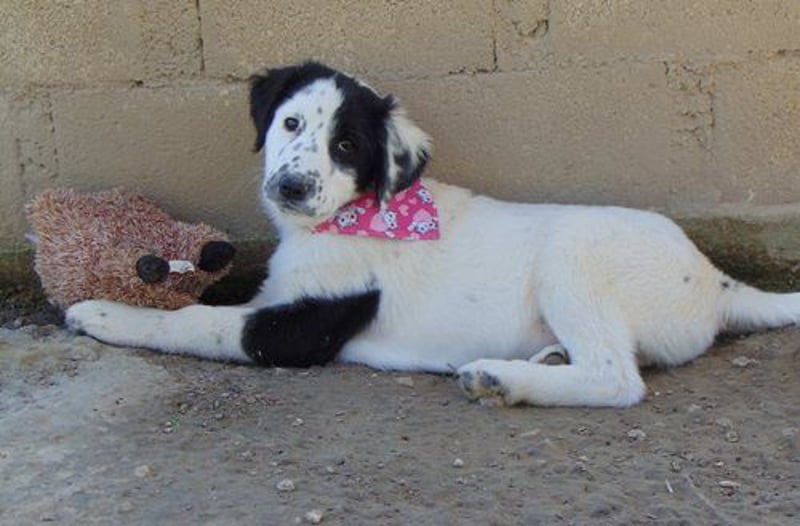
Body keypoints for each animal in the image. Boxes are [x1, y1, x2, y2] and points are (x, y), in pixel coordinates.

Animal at [66, 61, 800, 407]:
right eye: (291, 124)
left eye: (348, 146)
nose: (293, 188)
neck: (353, 214)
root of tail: (719, 282)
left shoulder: (299, 327)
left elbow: (198, 320)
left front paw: (103, 311)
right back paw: (537, 363)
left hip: (572, 257)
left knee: (616, 377)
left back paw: (503, 380)